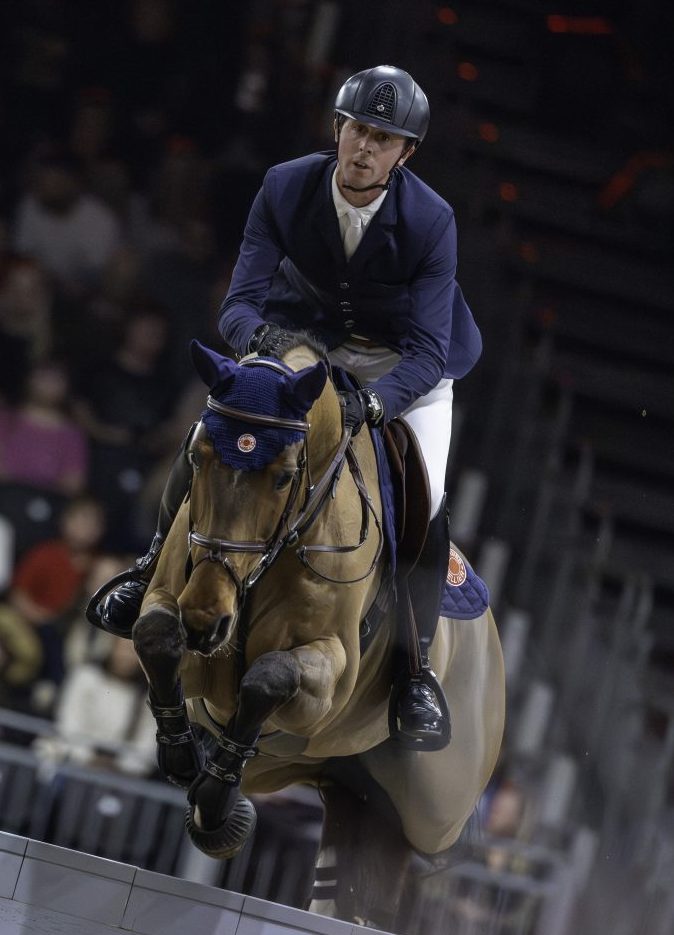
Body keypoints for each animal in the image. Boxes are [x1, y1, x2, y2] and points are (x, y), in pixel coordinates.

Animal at [130, 335, 505, 929]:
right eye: (196, 457)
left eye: (284, 475)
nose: (207, 622)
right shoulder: (177, 615)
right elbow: (155, 636)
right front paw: (183, 756)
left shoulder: (329, 676)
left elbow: (268, 677)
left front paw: (215, 795)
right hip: (353, 799)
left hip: (429, 813)